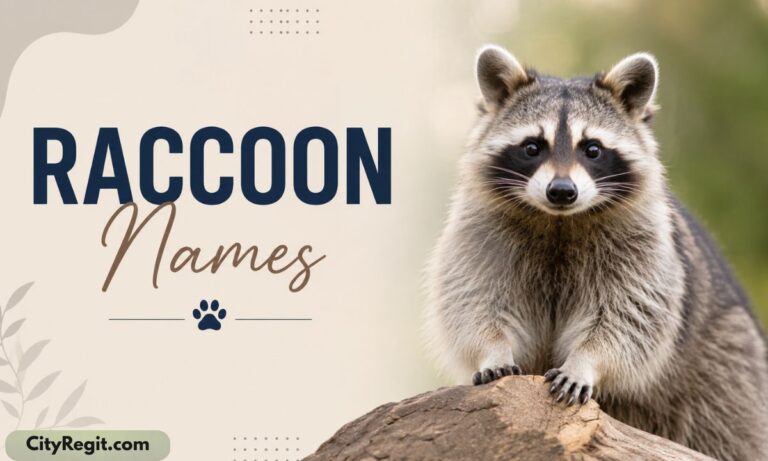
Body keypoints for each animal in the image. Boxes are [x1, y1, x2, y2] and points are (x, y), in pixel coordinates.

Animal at [425, 45, 768, 460]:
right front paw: (493, 350)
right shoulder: (479, 235)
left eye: (592, 149)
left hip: (727, 371)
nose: (561, 191)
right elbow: (474, 302)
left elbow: (628, 318)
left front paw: (585, 361)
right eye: (532, 147)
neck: (558, 220)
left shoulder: (643, 249)